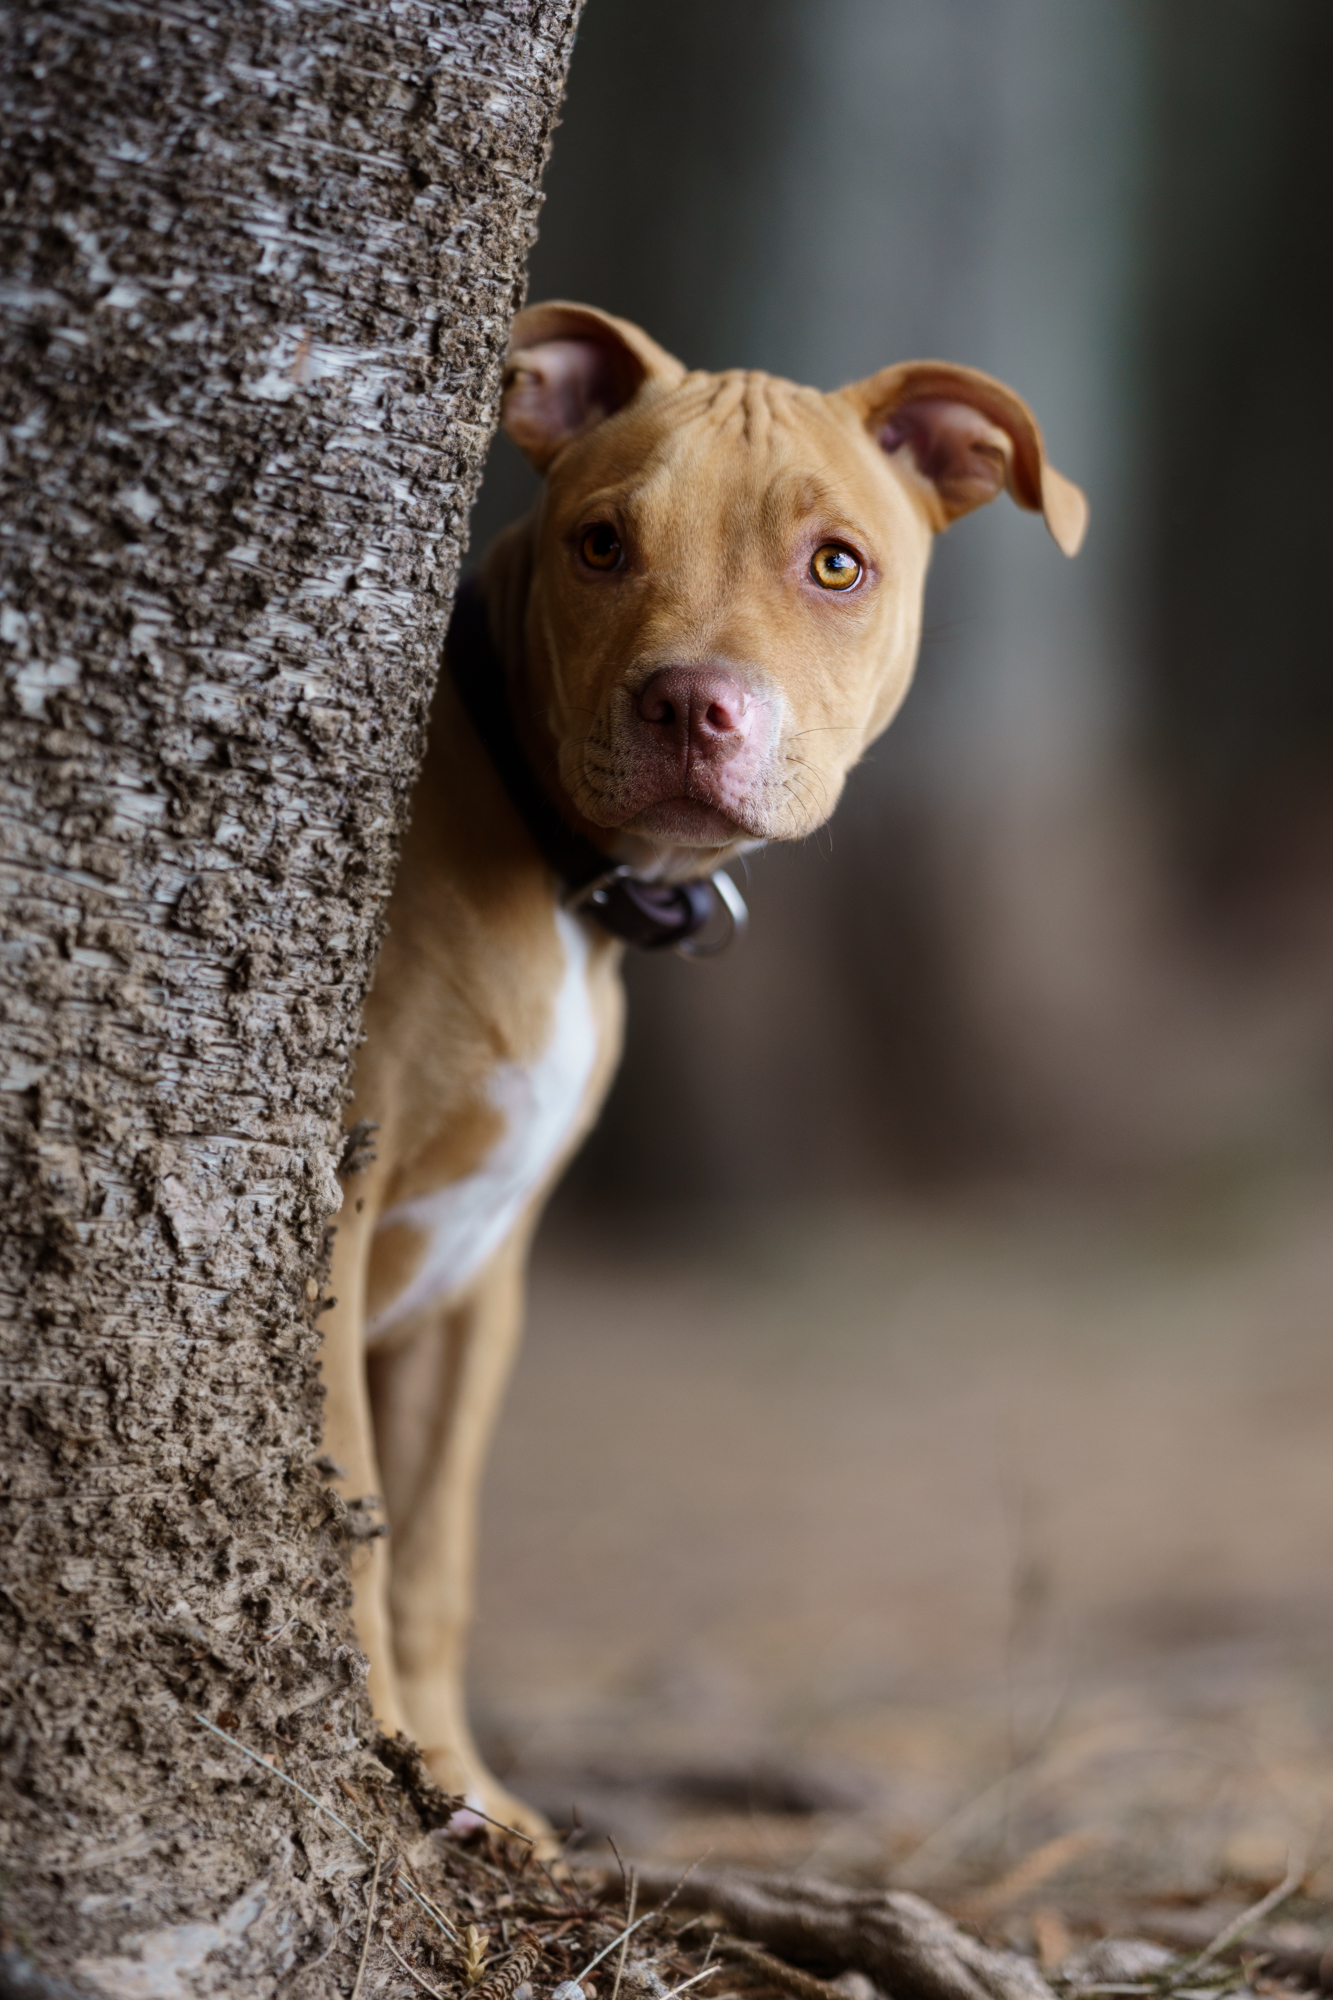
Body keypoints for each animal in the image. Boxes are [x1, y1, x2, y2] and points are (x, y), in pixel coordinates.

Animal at [321, 302, 1086, 1841]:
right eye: (601, 543)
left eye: (836, 563)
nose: (691, 706)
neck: (557, 868)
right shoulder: (330, 1220)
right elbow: (358, 1527)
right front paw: (387, 1759)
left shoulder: (475, 1283)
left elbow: (430, 1554)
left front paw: (459, 1789)